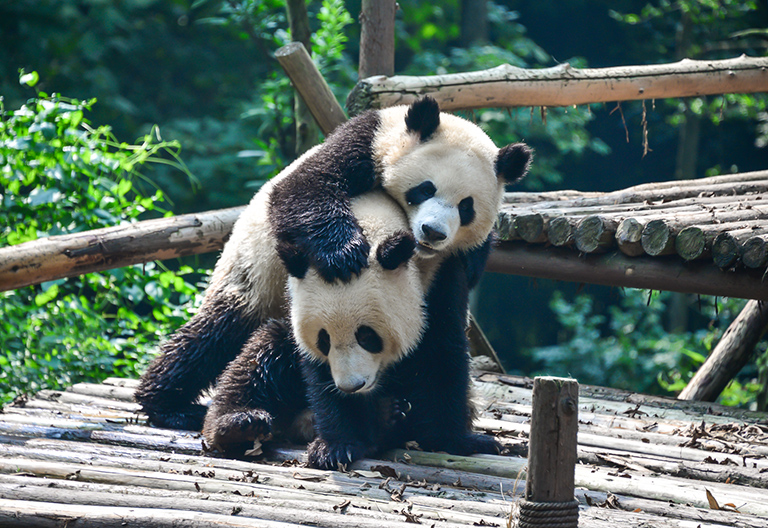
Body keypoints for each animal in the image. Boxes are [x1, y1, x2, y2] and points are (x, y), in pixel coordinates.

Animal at [135, 97, 532, 468]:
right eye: (425, 189)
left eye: (466, 207)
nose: (432, 232)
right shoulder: (363, 144)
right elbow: (304, 190)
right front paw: (343, 254)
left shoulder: (444, 274)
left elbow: (441, 347)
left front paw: (459, 439)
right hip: (252, 277)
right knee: (214, 335)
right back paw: (170, 404)